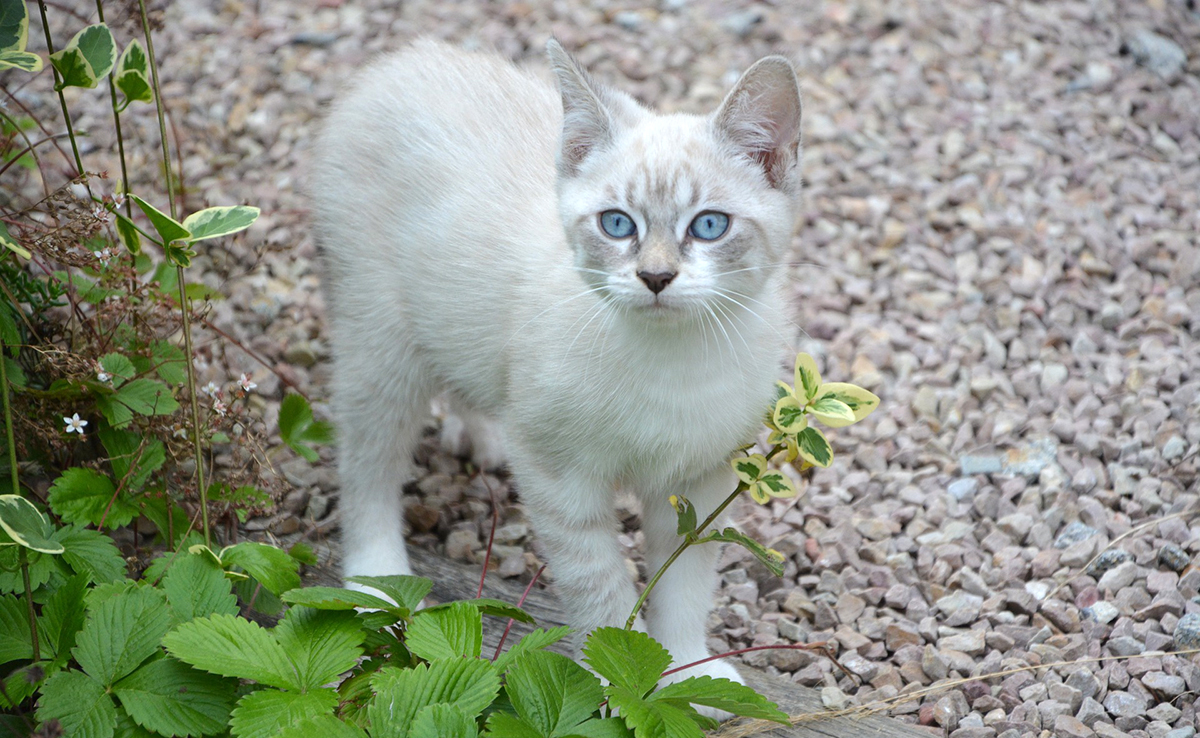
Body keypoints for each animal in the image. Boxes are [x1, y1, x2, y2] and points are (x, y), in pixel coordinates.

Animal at [309, 37, 801, 691]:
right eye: (617, 224)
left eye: (709, 226)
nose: (655, 277)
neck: (671, 361)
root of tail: (398, 60)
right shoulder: (558, 474)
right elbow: (600, 590)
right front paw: (618, 682)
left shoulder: (700, 479)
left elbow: (684, 584)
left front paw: (686, 672)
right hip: (379, 337)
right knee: (369, 466)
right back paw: (375, 580)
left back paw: (482, 436)